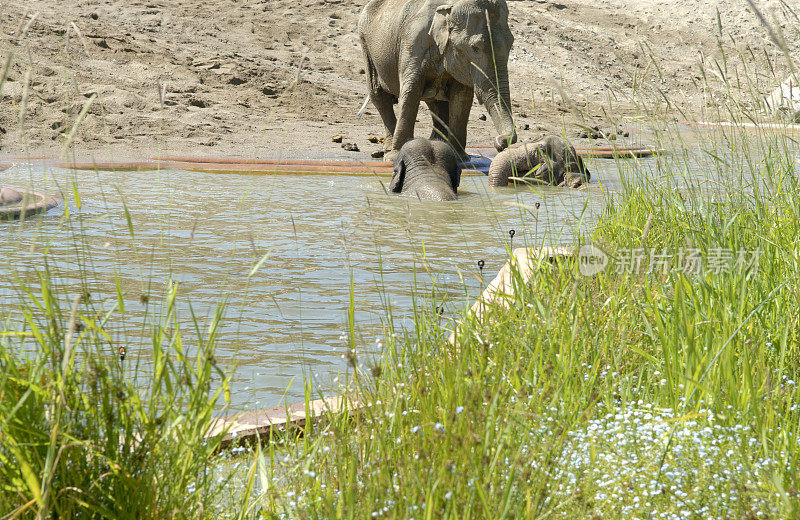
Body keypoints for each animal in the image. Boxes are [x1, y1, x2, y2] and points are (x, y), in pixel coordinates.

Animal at [358, 0, 520, 158]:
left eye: (512, 43)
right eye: (475, 48)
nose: (499, 143)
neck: (450, 8)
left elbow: (462, 96)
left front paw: (460, 157)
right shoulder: (413, 44)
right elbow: (411, 91)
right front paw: (395, 155)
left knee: (435, 100)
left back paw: (437, 143)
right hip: (366, 44)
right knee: (378, 94)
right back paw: (388, 149)